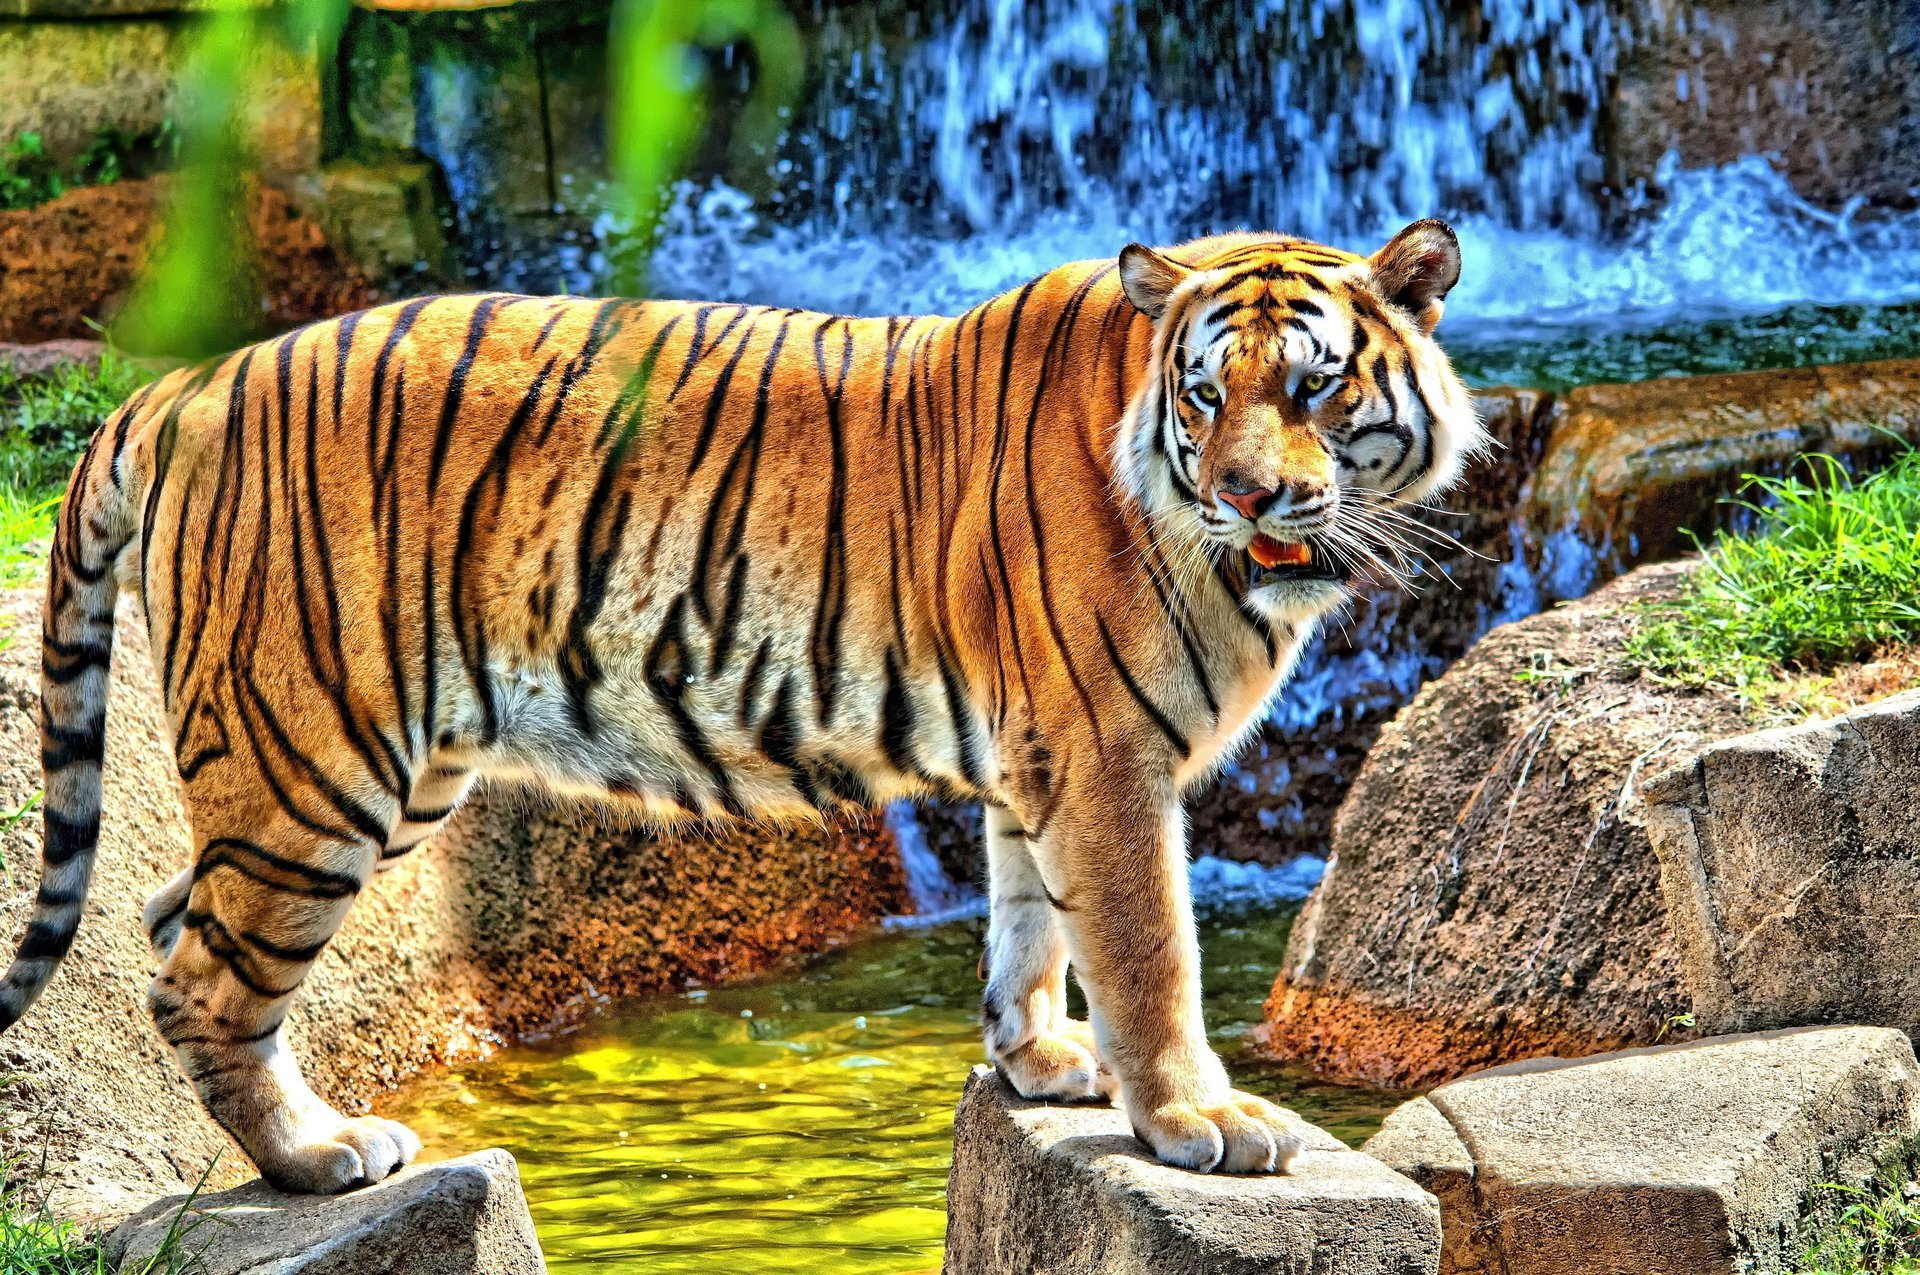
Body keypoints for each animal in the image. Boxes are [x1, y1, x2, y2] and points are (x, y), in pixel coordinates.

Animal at [0, 221, 1478, 1193]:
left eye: (1314, 386)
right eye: (1205, 392)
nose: (1245, 493)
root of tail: (184, 381)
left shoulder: (1041, 750)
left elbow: (1026, 919)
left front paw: (1043, 1060)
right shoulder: (1104, 751)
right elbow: (1148, 945)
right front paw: (1195, 1118)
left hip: (365, 769)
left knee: (169, 915)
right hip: (317, 757)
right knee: (202, 977)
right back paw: (320, 1154)